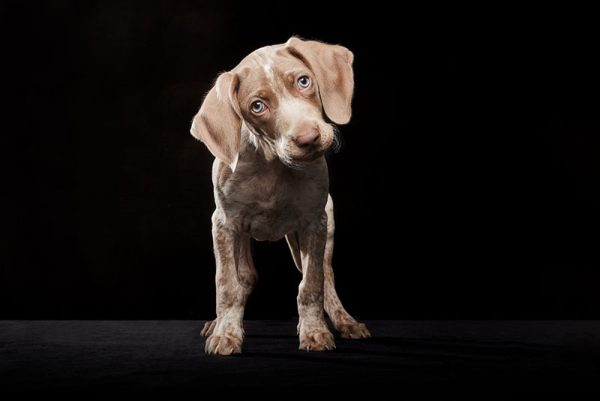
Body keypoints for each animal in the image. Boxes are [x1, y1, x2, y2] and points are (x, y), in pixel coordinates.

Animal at [192, 35, 370, 354]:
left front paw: (314, 331)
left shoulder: (314, 222)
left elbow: (311, 285)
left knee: (326, 276)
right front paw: (226, 333)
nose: (309, 138)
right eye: (257, 106)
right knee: (245, 276)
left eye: (303, 81)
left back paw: (344, 321)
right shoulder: (224, 223)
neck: (273, 164)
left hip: (324, 224)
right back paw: (219, 322)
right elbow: (227, 284)